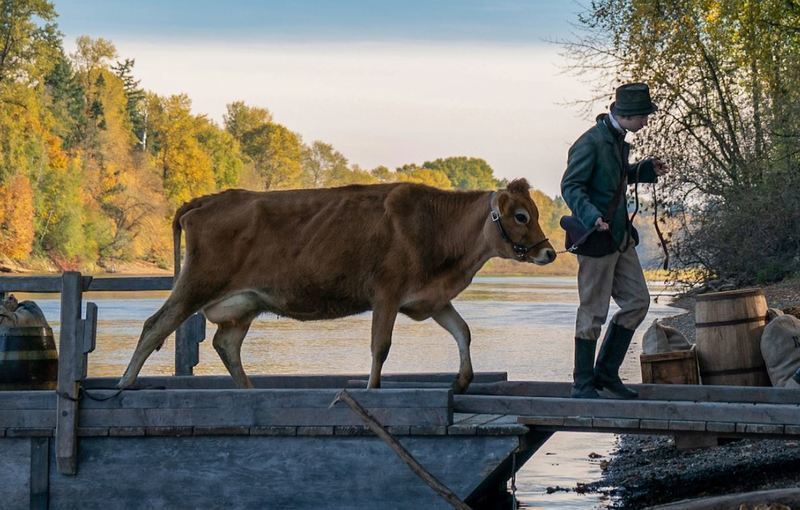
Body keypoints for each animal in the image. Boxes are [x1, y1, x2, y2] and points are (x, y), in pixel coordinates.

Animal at [118, 178, 556, 392]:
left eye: (533, 212)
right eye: (520, 215)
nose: (549, 252)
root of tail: (209, 199)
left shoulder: (430, 298)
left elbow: (463, 332)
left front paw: (463, 380)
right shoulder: (386, 293)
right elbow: (381, 347)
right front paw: (372, 388)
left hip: (243, 304)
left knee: (226, 344)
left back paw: (248, 390)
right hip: (197, 282)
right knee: (155, 325)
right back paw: (125, 384)